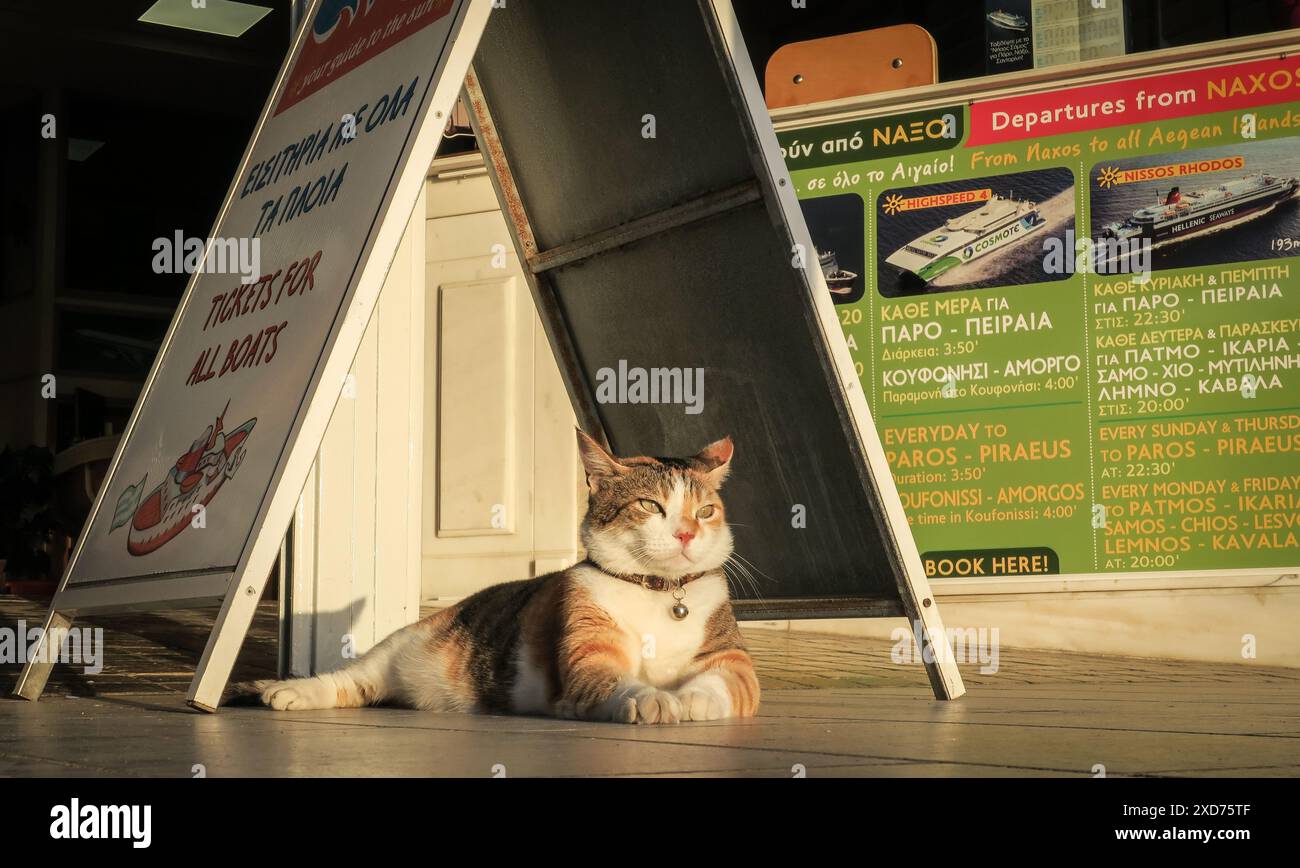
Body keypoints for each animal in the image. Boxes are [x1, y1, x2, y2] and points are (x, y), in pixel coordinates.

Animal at [241, 431, 759, 722]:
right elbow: (619, 681)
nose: (688, 532)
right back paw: (285, 691)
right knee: (346, 679)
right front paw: (655, 700)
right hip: (397, 645)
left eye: (706, 511)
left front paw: (689, 701)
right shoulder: (588, 656)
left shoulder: (733, 662)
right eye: (651, 505)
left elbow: (718, 684)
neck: (659, 595)